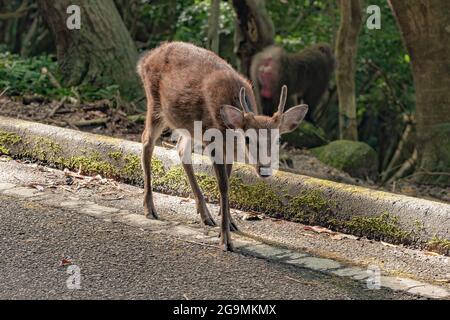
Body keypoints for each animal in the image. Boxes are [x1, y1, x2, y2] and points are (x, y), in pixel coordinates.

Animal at [137, 42, 308, 251]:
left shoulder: (227, 151)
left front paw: (230, 223)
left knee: (181, 149)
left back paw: (205, 215)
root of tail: (147, 59)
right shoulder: (215, 143)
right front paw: (225, 239)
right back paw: (149, 208)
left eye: (278, 139)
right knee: (147, 142)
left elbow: (228, 181)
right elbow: (223, 186)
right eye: (248, 139)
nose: (265, 169)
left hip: (188, 125)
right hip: (155, 104)